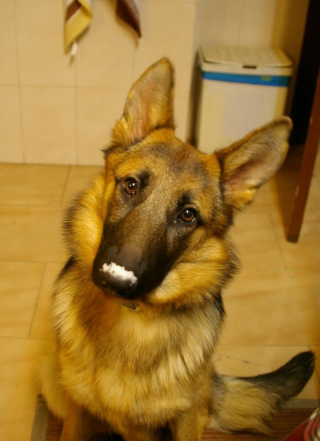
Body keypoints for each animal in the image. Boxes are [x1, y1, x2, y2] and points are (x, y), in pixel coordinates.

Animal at [40, 59, 316, 440]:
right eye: (131, 185)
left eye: (188, 215)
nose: (115, 281)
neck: (131, 319)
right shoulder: (76, 413)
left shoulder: (182, 418)